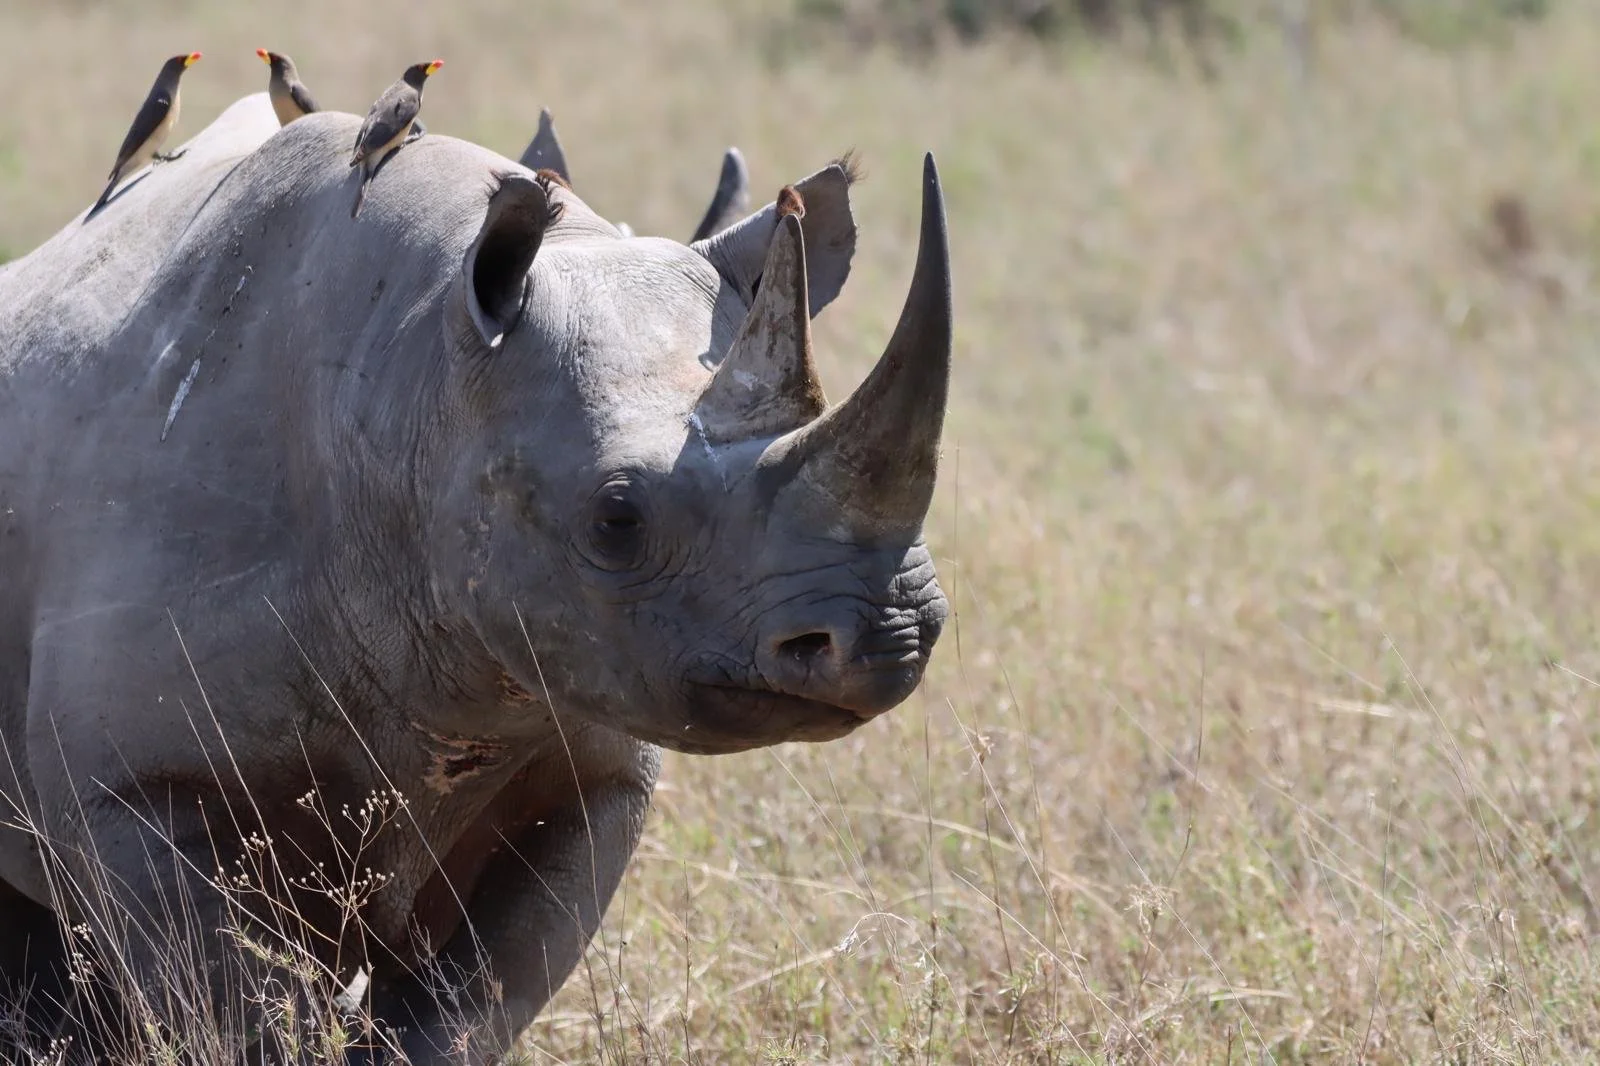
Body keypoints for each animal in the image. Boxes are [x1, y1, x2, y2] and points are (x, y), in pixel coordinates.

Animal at [0, 91, 952, 1065]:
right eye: (616, 521)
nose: (889, 636)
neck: (416, 389)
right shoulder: (137, 791)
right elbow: (242, 1012)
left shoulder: (588, 772)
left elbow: (475, 1002)